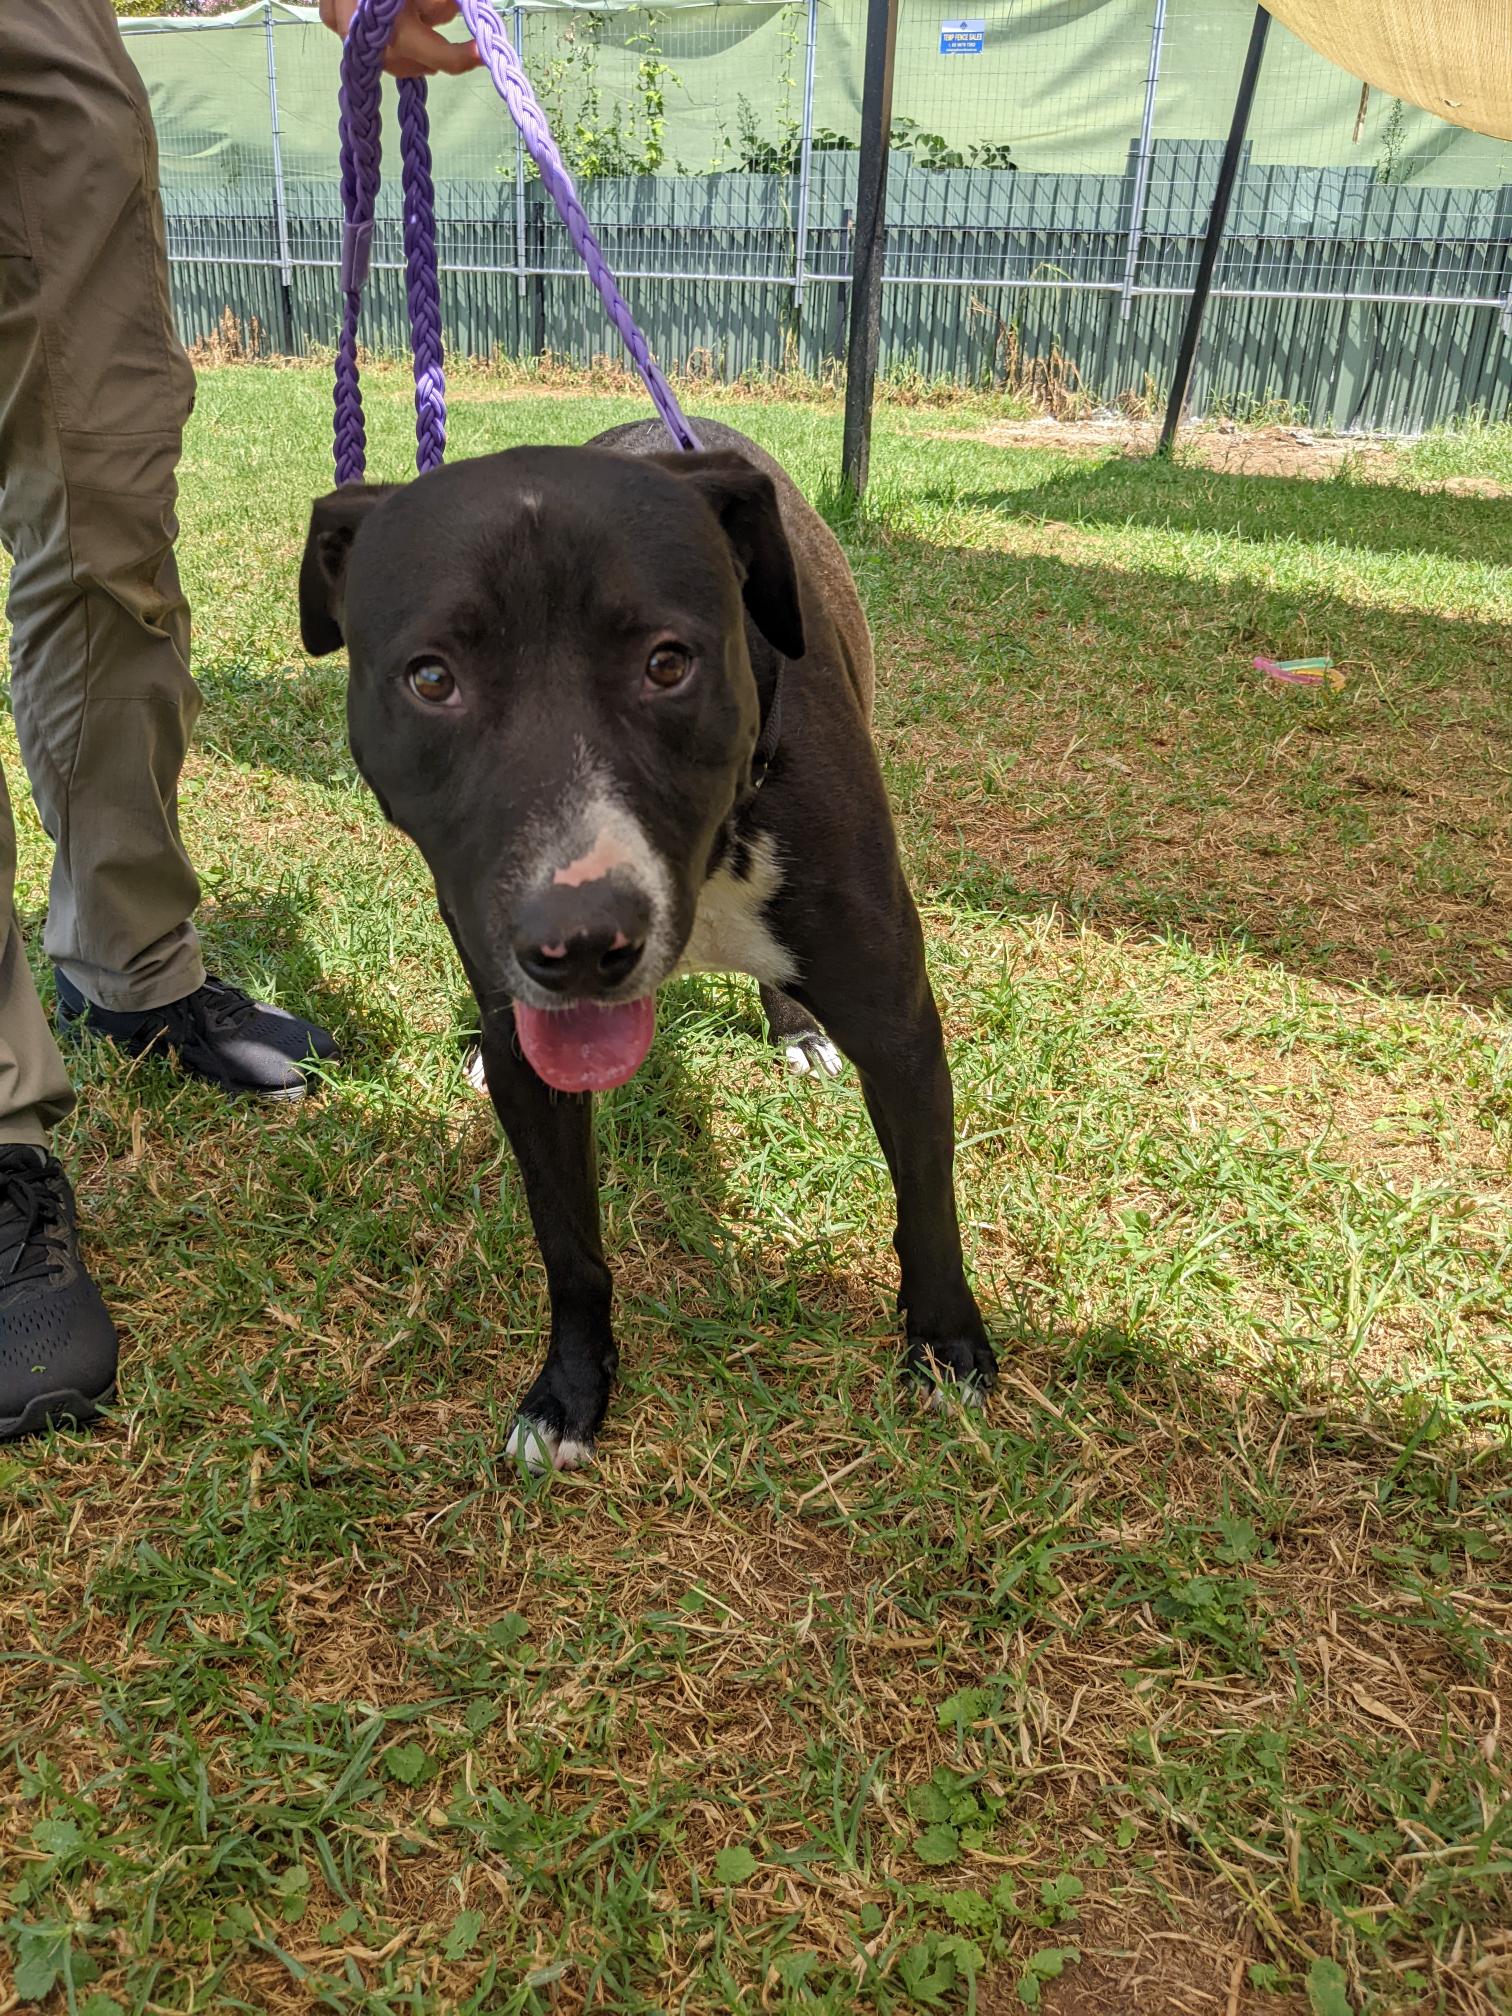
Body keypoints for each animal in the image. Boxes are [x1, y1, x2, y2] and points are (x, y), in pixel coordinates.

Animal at [299, 418, 997, 1468]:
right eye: (431, 678)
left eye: (669, 664)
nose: (579, 942)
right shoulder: (536, 1068)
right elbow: (570, 1248)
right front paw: (569, 1391)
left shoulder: (898, 1025)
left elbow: (926, 1208)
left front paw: (948, 1346)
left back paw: (796, 1028)